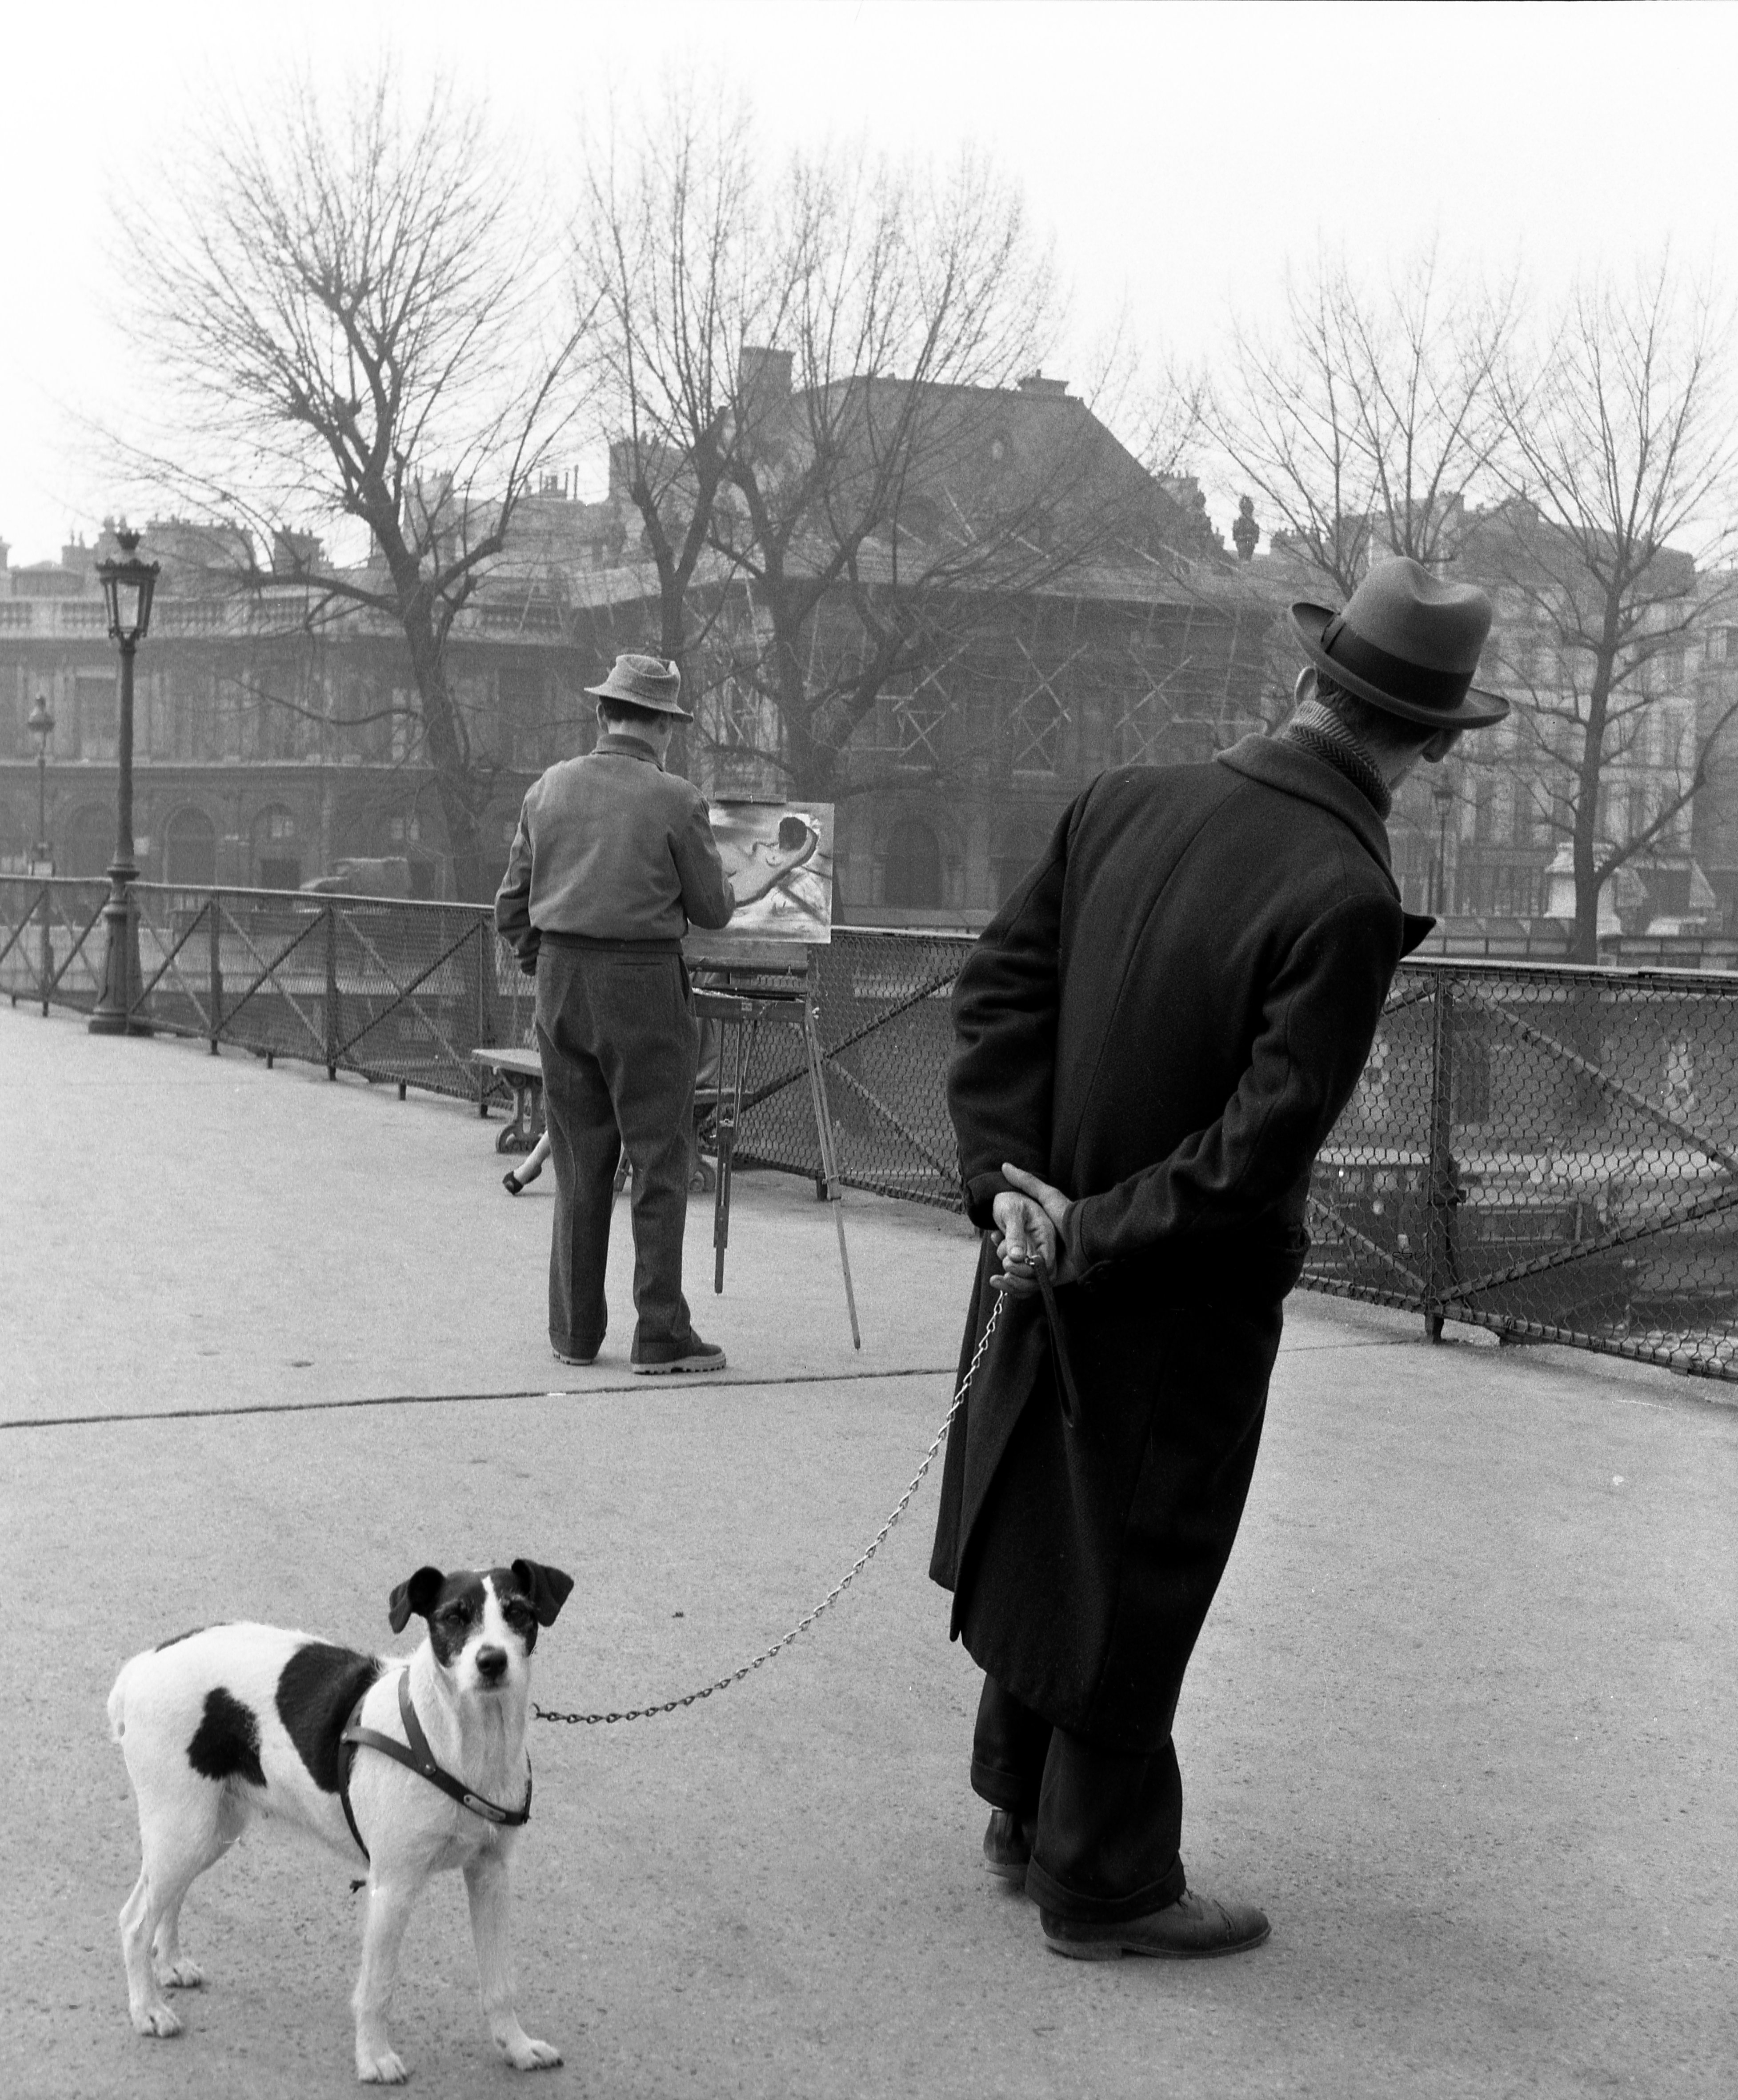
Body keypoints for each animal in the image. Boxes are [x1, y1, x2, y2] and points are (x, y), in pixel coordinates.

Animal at [105, 1562, 575, 2083]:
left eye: (518, 1612)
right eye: (454, 1616)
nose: (492, 1661)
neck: (462, 1746)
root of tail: (143, 1666)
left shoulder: (491, 1876)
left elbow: (500, 1982)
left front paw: (517, 2047)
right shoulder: (391, 1887)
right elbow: (378, 1989)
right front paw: (373, 2058)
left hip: (210, 1830)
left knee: (168, 1898)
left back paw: (169, 1964)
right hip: (183, 1829)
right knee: (134, 1921)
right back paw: (147, 2010)